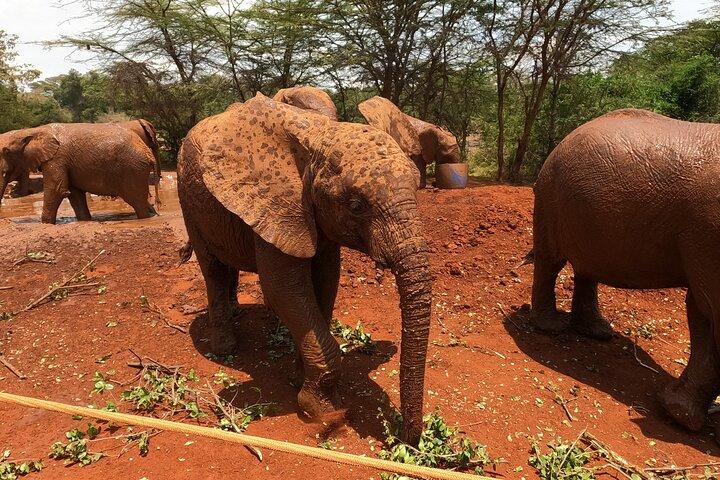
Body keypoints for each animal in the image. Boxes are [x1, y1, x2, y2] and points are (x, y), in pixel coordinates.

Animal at [0, 123, 158, 223]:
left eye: (6, 151)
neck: (32, 131)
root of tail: (148, 153)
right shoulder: (66, 163)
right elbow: (75, 194)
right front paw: (84, 221)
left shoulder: (57, 158)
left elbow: (56, 190)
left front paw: (45, 224)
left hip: (133, 170)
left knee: (137, 201)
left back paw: (146, 218)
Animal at [177, 93, 431, 444]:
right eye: (356, 206)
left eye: (418, 187)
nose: (407, 437)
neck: (316, 140)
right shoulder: (279, 204)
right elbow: (285, 289)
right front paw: (322, 411)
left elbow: (326, 280)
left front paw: (299, 375)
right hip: (187, 198)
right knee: (213, 268)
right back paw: (226, 348)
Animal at [530, 108, 720, 433]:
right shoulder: (710, 234)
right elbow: (708, 313)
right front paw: (678, 416)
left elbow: (700, 312)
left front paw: (676, 412)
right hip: (550, 195)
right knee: (550, 261)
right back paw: (552, 327)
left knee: (586, 266)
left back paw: (598, 332)